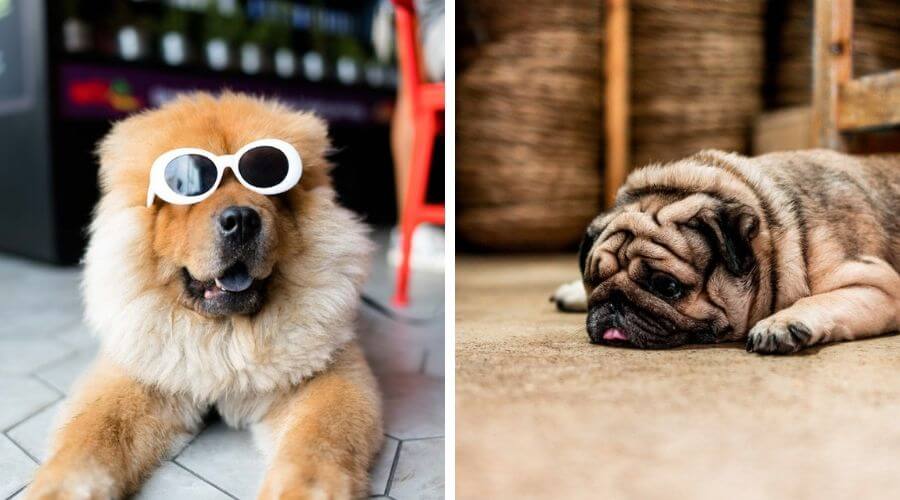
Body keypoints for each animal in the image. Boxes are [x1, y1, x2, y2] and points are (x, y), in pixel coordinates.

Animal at [28, 92, 384, 498]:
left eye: (267, 177)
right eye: (188, 185)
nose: (241, 219)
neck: (225, 334)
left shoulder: (329, 376)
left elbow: (318, 442)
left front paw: (303, 490)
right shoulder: (136, 375)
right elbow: (92, 434)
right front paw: (59, 488)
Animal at [552, 149, 896, 356]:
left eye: (667, 287)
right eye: (594, 280)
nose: (613, 303)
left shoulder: (879, 285)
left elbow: (816, 300)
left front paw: (783, 323)